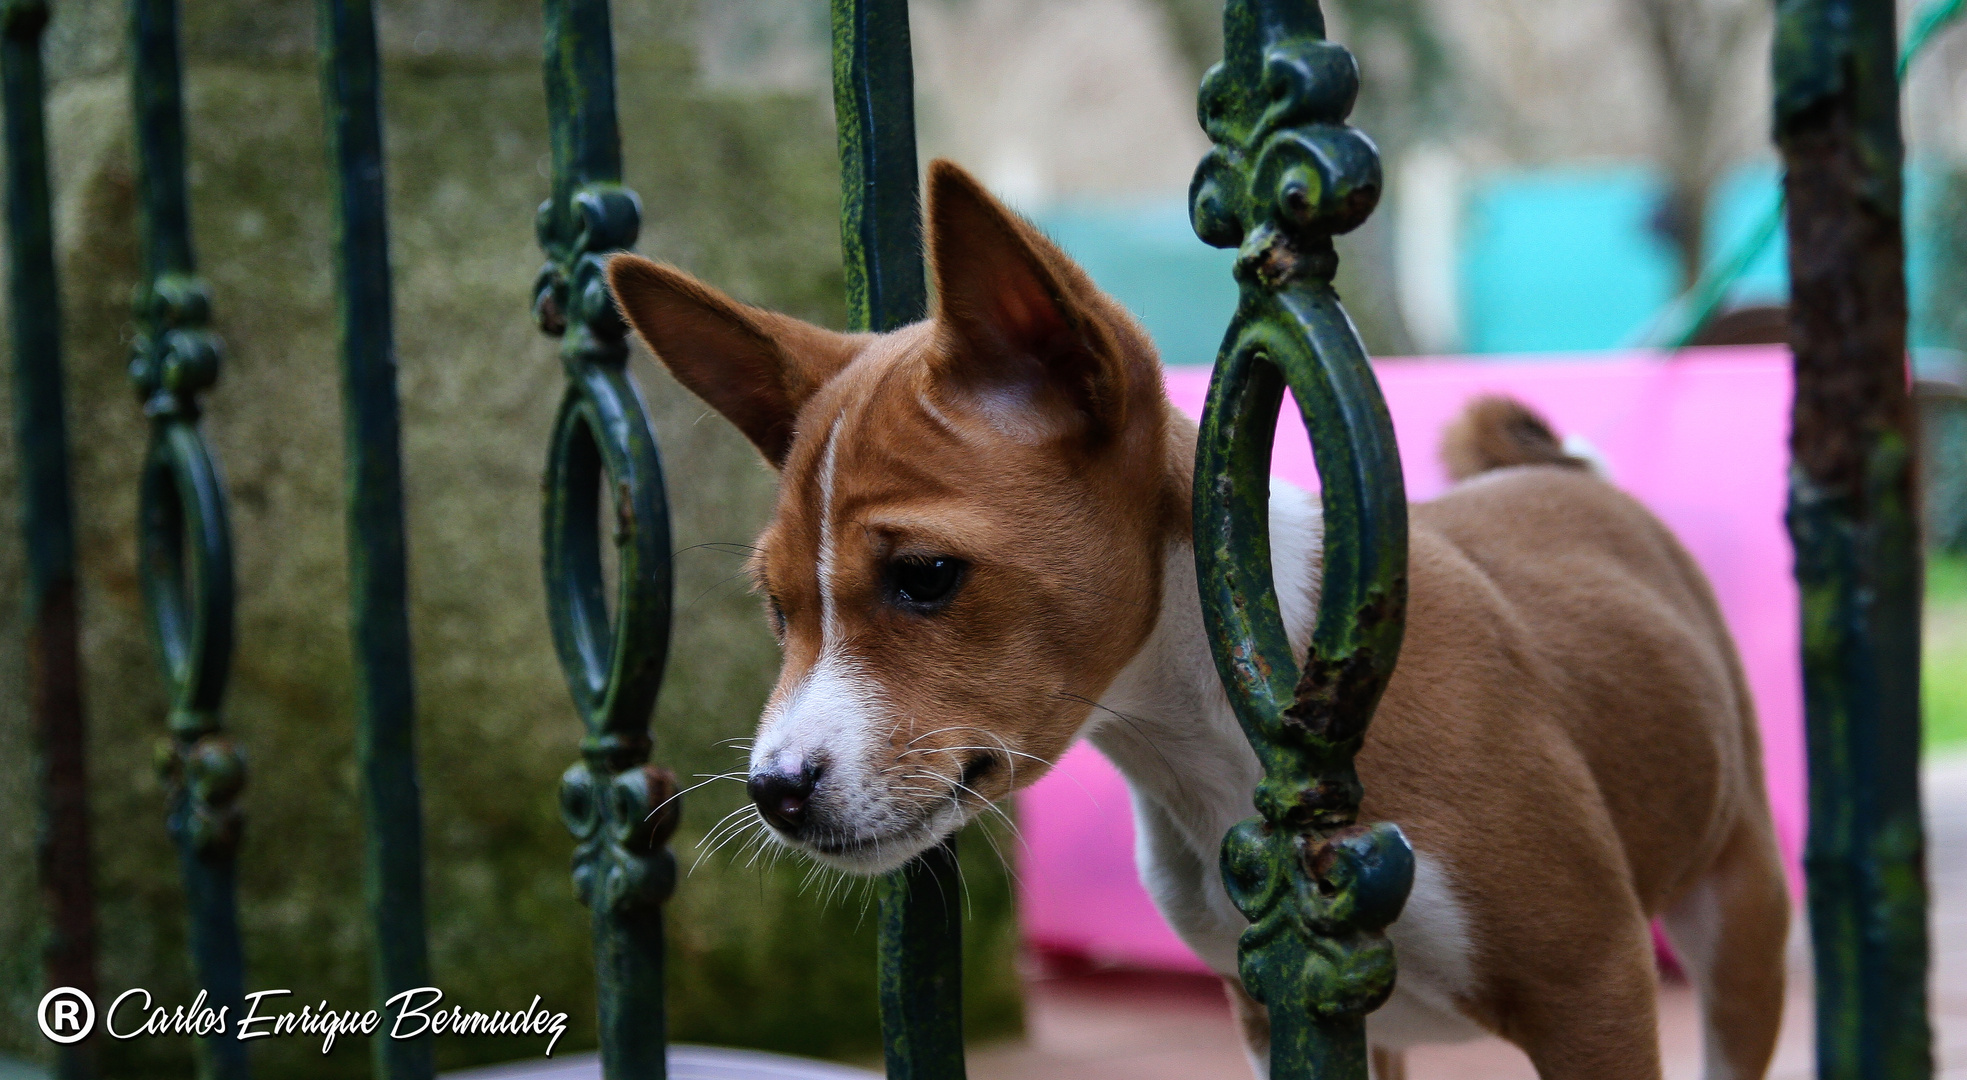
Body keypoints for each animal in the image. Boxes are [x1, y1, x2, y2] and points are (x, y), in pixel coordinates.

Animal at [605, 160, 1793, 1078]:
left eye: (926, 576)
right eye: (775, 607)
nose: (772, 791)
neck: (1205, 748)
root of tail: (1555, 472)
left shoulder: (1591, 989)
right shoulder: (1294, 1015)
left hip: (1737, 913)